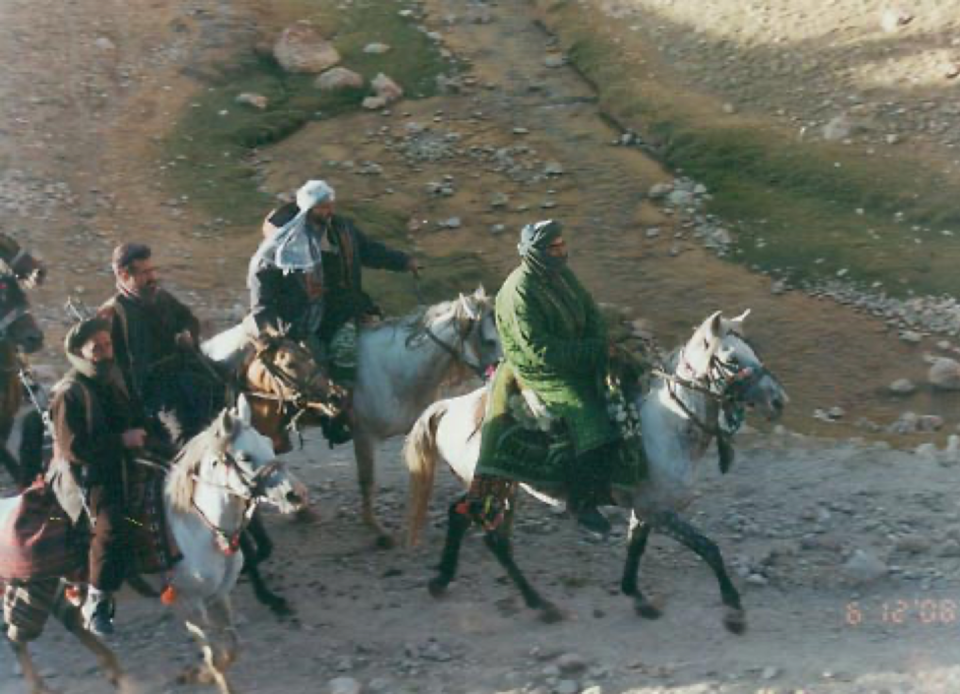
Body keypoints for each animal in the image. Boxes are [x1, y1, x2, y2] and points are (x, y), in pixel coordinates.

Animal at [1, 408, 306, 694]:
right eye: (244, 457)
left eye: (269, 443)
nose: (296, 495)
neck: (196, 526)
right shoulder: (187, 603)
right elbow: (214, 655)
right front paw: (202, 675)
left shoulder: (219, 595)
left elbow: (231, 649)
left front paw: (195, 674)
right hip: (28, 589)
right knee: (17, 637)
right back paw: (40, 686)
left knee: (71, 622)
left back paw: (119, 676)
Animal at [203, 286, 502, 548]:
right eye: (489, 340)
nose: (501, 375)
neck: (398, 367)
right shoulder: (364, 435)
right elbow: (367, 481)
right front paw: (379, 531)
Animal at [404, 310, 788, 632]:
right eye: (732, 359)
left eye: (753, 351)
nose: (779, 401)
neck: (671, 427)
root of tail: (450, 407)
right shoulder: (658, 510)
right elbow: (708, 548)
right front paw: (734, 607)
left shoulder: (644, 510)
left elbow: (636, 549)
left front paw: (636, 596)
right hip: (500, 485)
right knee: (493, 537)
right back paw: (539, 604)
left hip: (494, 486)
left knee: (460, 515)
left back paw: (443, 580)